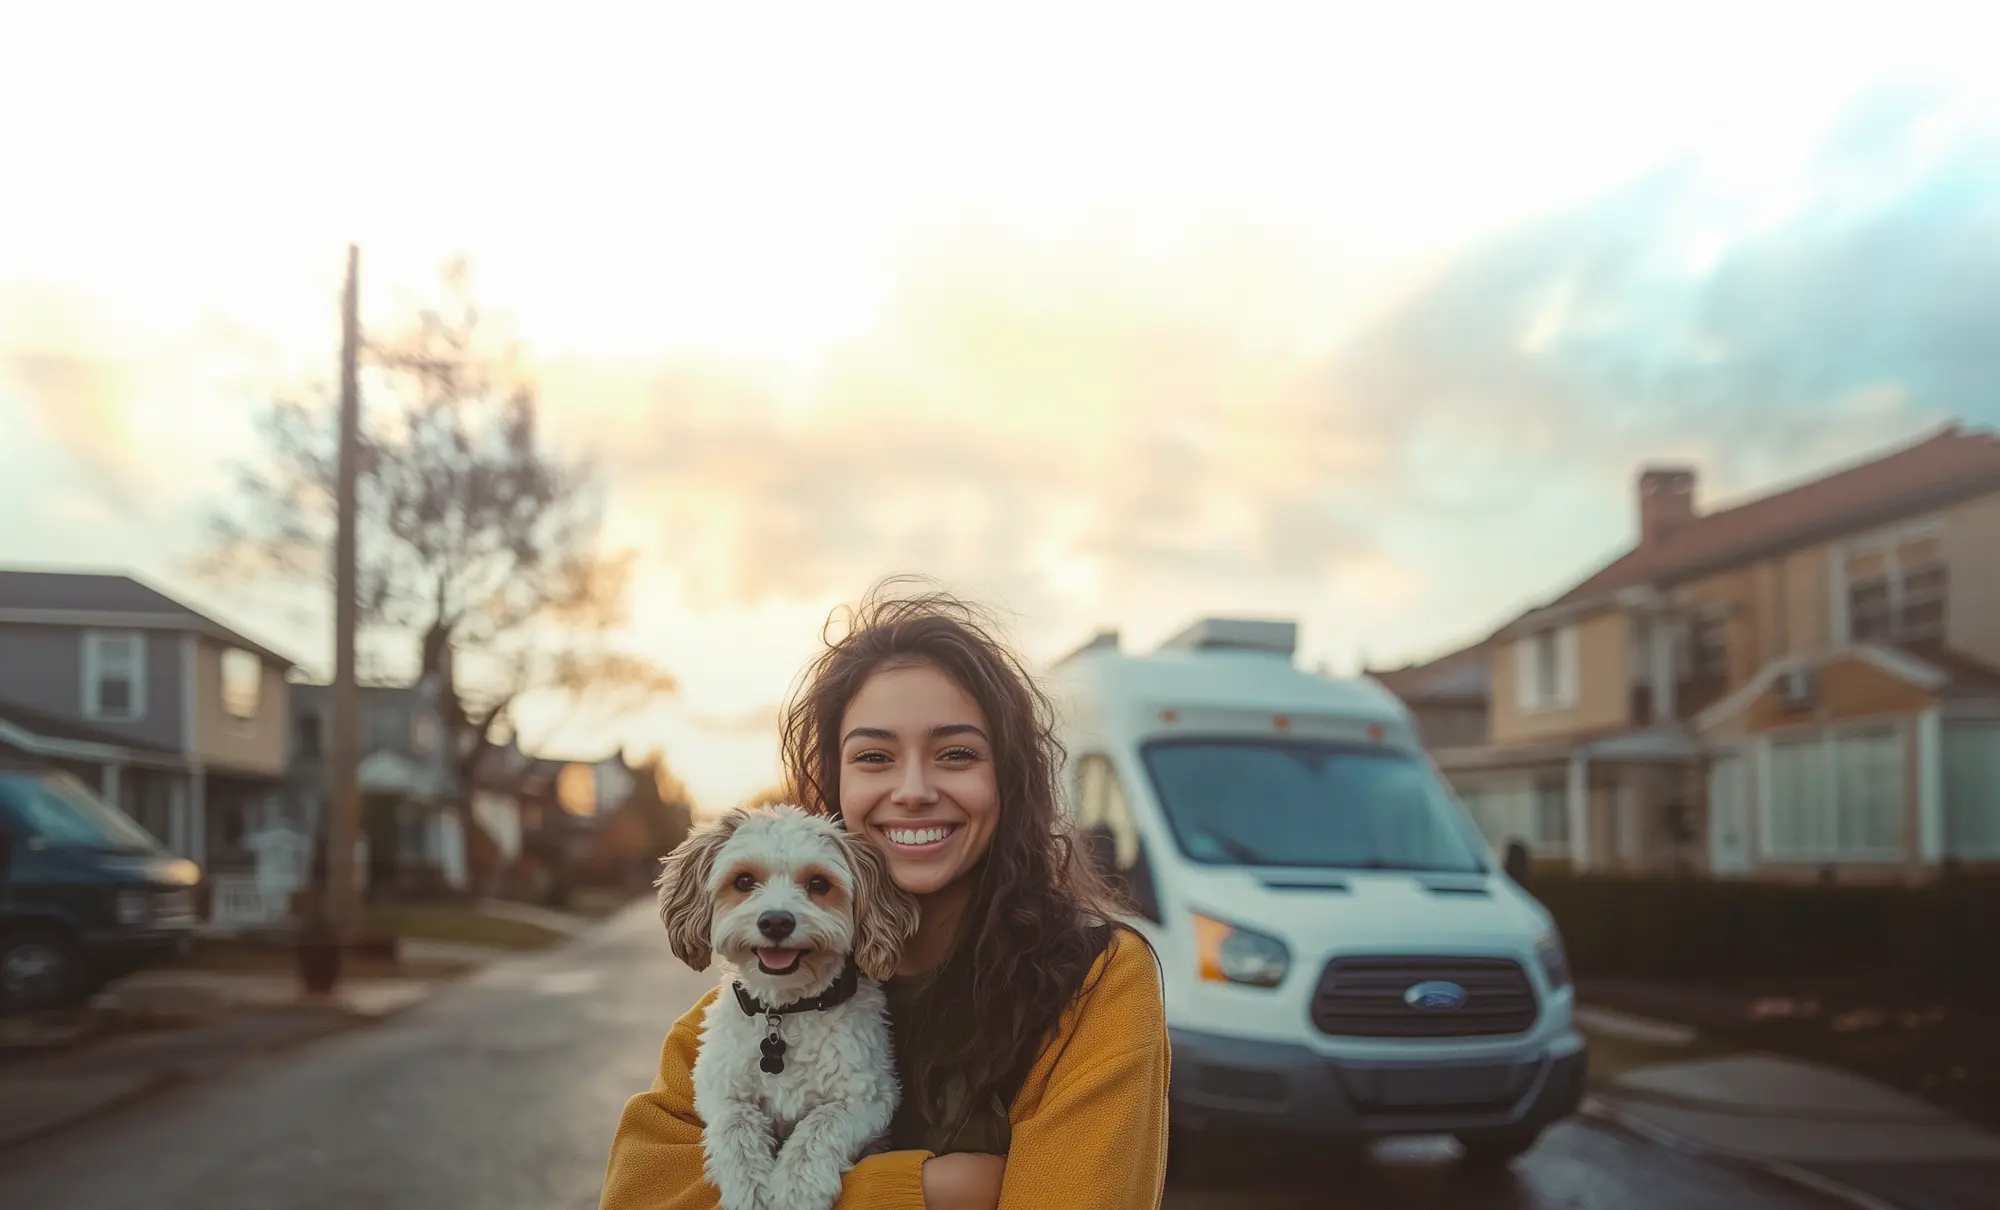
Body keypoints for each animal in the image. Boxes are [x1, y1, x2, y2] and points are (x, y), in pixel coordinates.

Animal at [656, 804, 920, 1208]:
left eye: (818, 884)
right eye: (744, 880)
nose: (776, 921)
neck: (784, 1011)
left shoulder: (868, 1098)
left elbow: (818, 1128)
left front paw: (795, 1192)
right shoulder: (720, 1092)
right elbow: (736, 1129)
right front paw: (750, 1192)